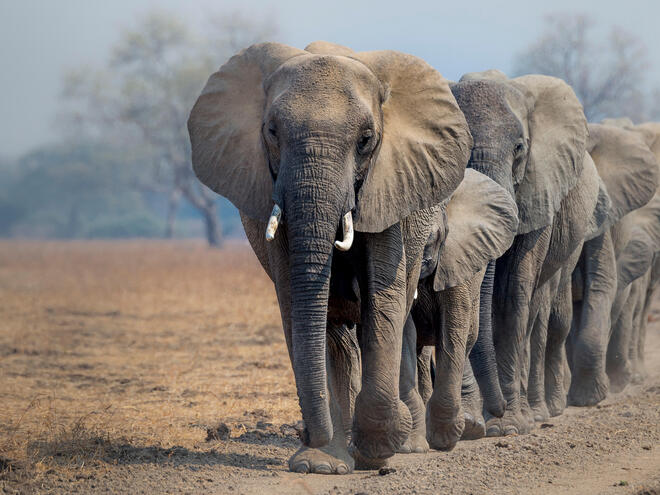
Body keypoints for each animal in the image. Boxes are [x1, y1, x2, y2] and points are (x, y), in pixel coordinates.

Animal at [188, 40, 472, 474]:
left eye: (366, 139)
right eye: (272, 132)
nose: (308, 434)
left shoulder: (389, 185)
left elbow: (383, 299)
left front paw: (377, 449)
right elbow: (298, 304)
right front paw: (318, 464)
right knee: (335, 334)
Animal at [398, 170, 520, 454]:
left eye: (432, 240)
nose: (501, 410)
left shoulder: (456, 256)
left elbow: (453, 326)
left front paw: (445, 438)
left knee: (466, 338)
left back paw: (470, 427)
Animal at [448, 68, 604, 436]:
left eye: (520, 148)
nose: (498, 410)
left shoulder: (540, 187)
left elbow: (511, 293)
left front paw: (506, 427)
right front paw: (477, 425)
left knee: (545, 315)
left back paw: (542, 411)